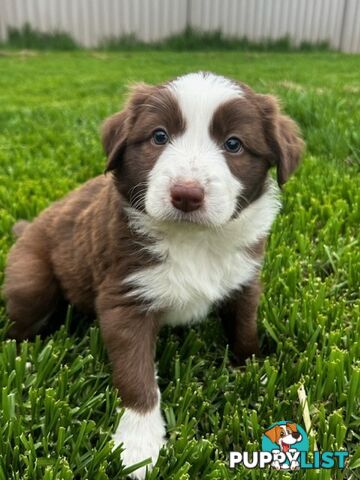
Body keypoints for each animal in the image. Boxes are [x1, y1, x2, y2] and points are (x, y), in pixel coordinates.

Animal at [4, 72, 304, 480]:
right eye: (158, 137)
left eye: (234, 144)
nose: (186, 195)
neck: (193, 240)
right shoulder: (125, 297)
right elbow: (137, 377)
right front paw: (139, 446)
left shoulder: (243, 279)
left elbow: (243, 327)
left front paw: (252, 370)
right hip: (33, 278)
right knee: (19, 325)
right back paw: (26, 360)